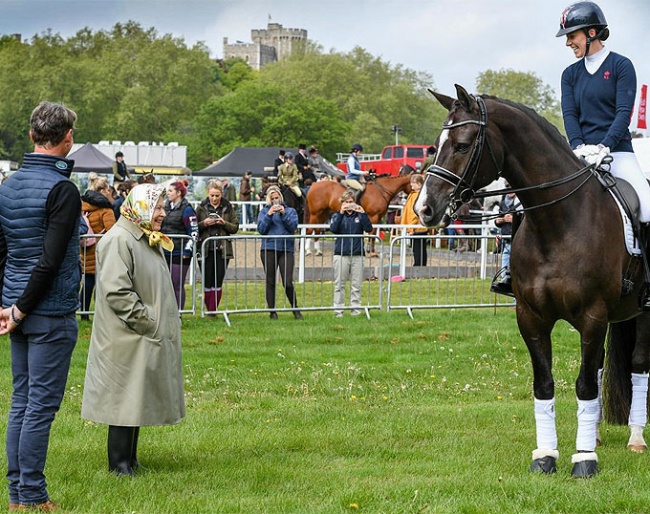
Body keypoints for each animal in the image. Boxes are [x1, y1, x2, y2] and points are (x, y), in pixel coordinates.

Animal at [412, 84, 648, 476]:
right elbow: (544, 384)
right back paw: (597, 435)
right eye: (435, 144)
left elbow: (584, 385)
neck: (560, 221)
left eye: (461, 145)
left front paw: (584, 460)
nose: (424, 208)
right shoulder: (531, 317)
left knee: (638, 366)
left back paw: (635, 438)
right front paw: (547, 455)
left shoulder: (593, 315)